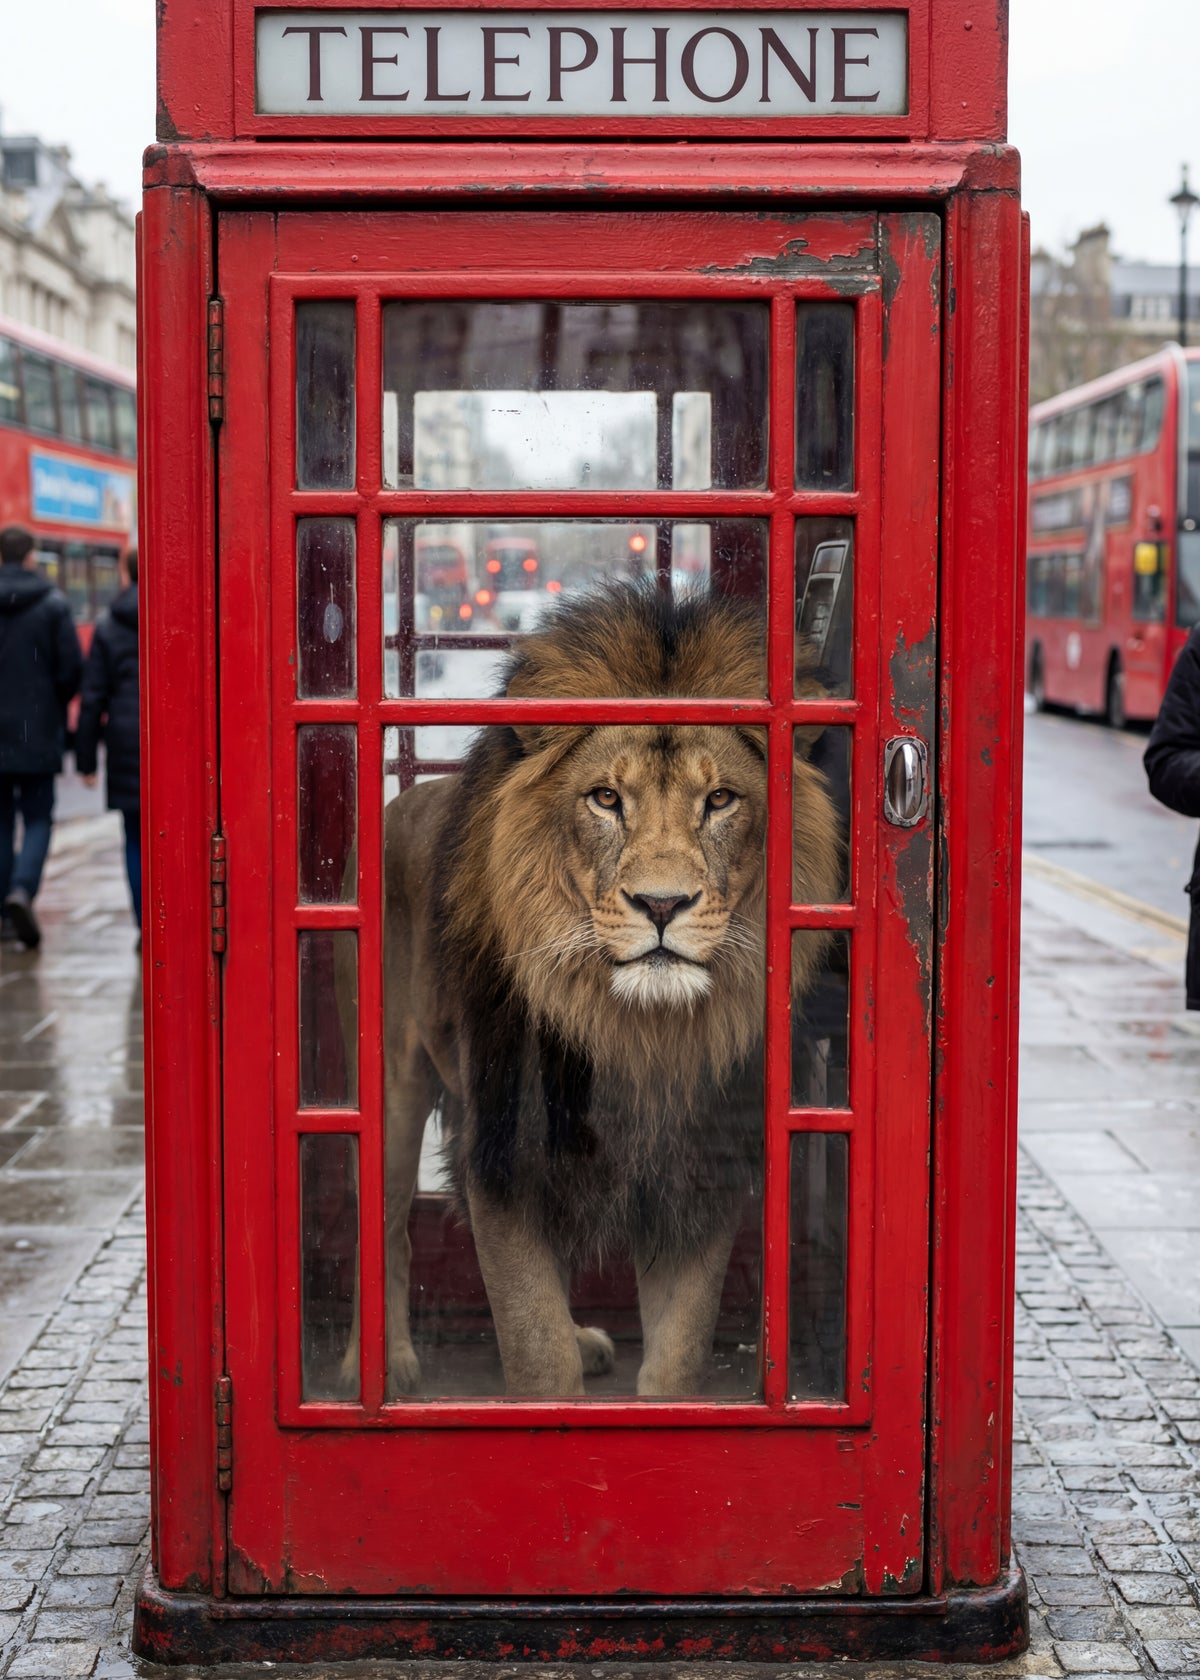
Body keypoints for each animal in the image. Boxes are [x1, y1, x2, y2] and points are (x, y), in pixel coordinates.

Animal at [372, 585, 842, 1398]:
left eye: (720, 799)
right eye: (605, 799)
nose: (661, 904)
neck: (634, 1032)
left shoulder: (702, 1165)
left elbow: (677, 1356)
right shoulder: (504, 1152)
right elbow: (536, 1353)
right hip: (394, 1092)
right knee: (387, 1229)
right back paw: (382, 1368)